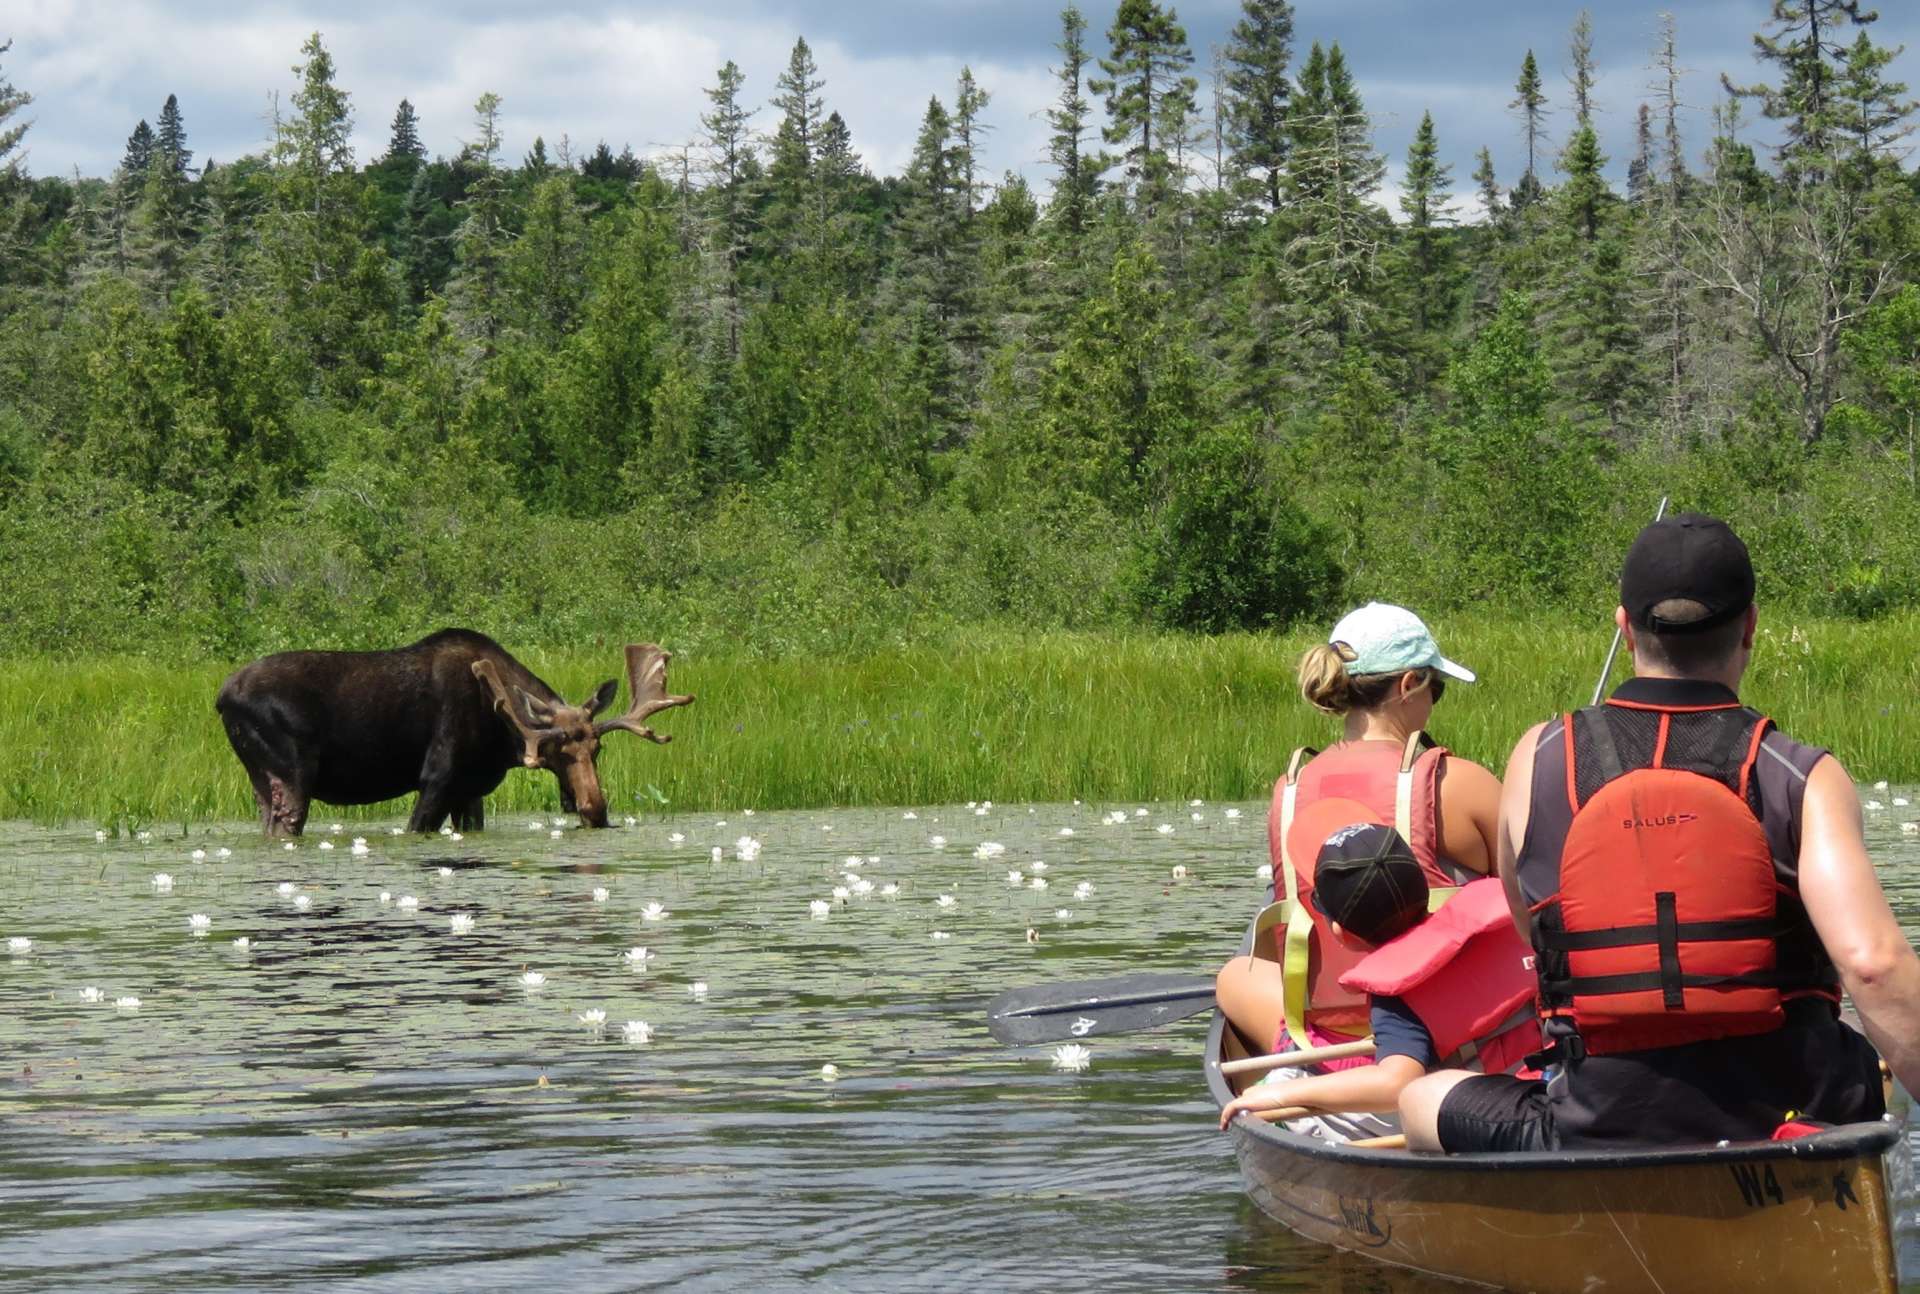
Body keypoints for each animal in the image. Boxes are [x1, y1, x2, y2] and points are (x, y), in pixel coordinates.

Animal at [215, 625, 695, 833]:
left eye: (597, 749)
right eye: (554, 752)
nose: (595, 810)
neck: (502, 736)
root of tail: (221, 698)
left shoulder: (471, 788)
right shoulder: (438, 778)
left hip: (261, 779)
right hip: (293, 774)